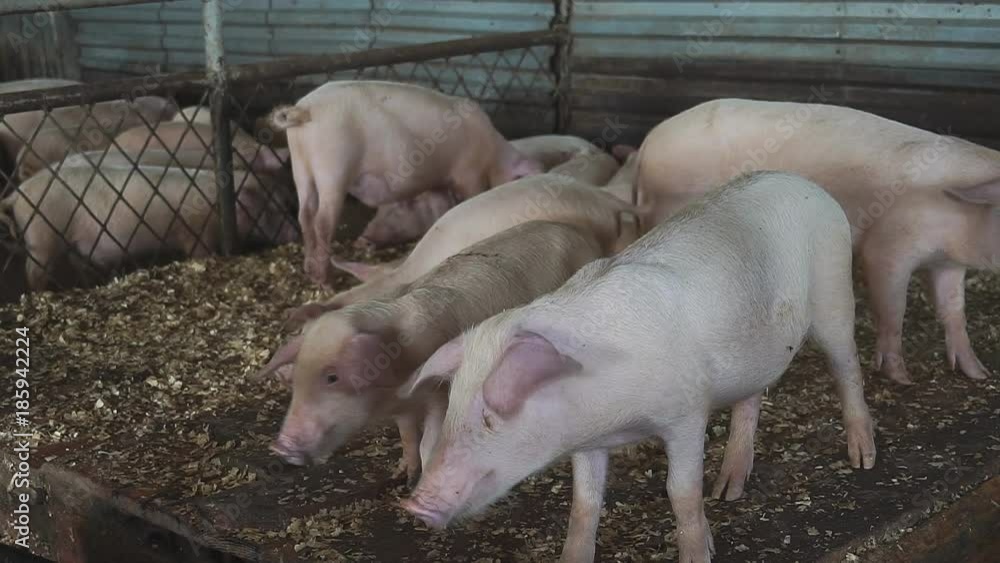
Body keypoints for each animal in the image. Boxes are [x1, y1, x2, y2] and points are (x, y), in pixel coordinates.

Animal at [2, 164, 297, 290]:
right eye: (274, 207)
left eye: (286, 202)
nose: (295, 232)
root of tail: (17, 194)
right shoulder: (196, 234)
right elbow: (200, 254)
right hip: (41, 239)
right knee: (33, 273)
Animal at [253, 219, 622, 486]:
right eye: (297, 378)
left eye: (331, 377)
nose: (279, 445)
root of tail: (581, 233)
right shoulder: (401, 409)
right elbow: (407, 436)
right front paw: (401, 475)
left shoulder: (438, 394)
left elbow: (428, 439)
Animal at [267, 80, 544, 286]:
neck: (494, 154)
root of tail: (305, 110)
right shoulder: (468, 172)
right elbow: (469, 196)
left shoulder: (437, 182)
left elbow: (441, 208)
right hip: (333, 167)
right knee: (323, 222)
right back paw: (326, 281)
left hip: (301, 167)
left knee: (304, 216)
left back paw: (310, 272)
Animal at [402, 172, 877, 563]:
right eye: (452, 407)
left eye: (488, 417)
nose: (414, 502)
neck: (614, 415)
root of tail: (807, 183)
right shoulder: (587, 441)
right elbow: (584, 504)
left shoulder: (687, 412)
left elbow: (680, 492)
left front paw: (697, 554)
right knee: (751, 400)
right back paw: (728, 490)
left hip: (834, 292)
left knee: (848, 368)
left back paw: (862, 458)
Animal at [636, 98, 1000, 384]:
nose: (986, 375)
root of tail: (646, 146)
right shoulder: (889, 247)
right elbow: (894, 308)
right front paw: (901, 378)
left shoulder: (948, 263)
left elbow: (954, 310)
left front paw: (978, 373)